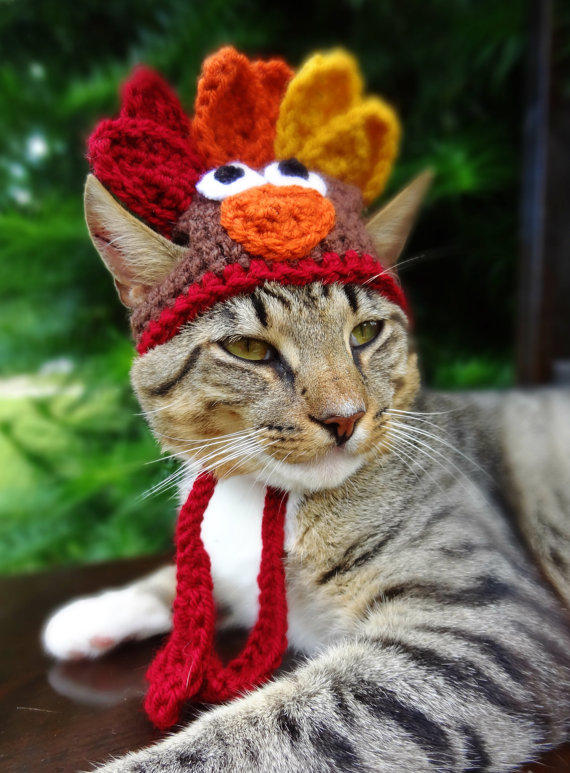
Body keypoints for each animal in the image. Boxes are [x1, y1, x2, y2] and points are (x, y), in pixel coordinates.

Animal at [42, 164, 568, 772]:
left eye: (365, 333)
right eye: (248, 348)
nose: (345, 417)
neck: (266, 496)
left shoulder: (486, 628)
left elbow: (281, 727)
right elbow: (188, 579)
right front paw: (100, 610)